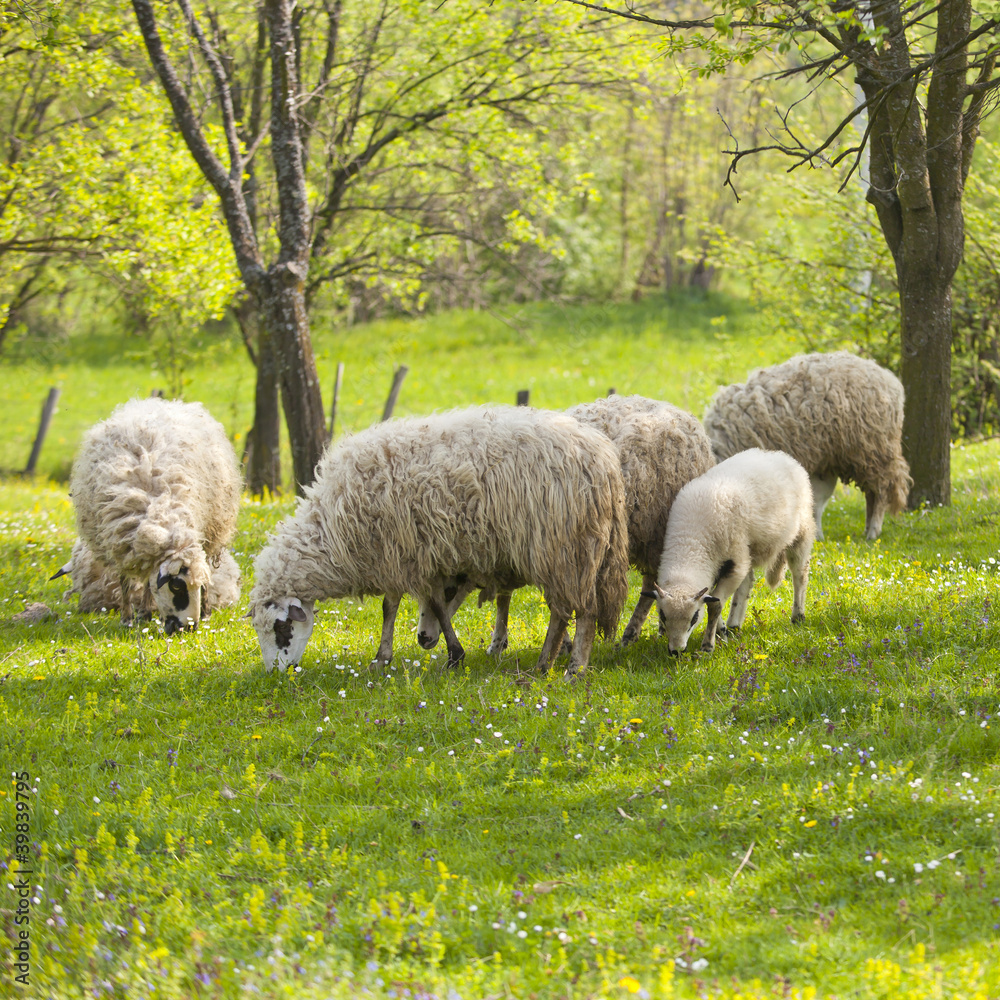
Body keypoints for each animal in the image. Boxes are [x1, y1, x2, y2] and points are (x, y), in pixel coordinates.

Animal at [69, 398, 242, 633]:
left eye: (195, 586)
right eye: (177, 586)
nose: (189, 628)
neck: (159, 512)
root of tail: (167, 402)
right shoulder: (120, 546)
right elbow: (126, 581)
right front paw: (128, 618)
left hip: (214, 529)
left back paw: (204, 612)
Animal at [248, 405, 629, 675]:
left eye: (282, 628)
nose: (276, 673)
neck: (331, 525)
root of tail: (604, 458)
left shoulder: (414, 554)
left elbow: (434, 605)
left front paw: (454, 655)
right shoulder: (399, 555)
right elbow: (392, 607)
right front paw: (383, 657)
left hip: (566, 546)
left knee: (581, 610)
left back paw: (571, 667)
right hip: (567, 550)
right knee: (563, 611)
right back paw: (546, 663)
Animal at [414, 394, 715, 651]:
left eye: (448, 592)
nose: (423, 638)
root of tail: (679, 413)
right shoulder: (510, 551)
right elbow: (504, 597)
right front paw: (498, 641)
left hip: (654, 532)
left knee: (649, 584)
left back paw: (632, 632)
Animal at [650, 448, 814, 654]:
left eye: (694, 618)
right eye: (662, 615)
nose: (676, 651)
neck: (691, 542)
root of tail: (780, 455)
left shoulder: (735, 562)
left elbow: (716, 604)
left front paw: (708, 646)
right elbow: (714, 598)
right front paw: (722, 632)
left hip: (801, 533)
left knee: (800, 575)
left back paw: (798, 616)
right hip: (749, 549)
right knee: (746, 585)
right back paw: (734, 625)